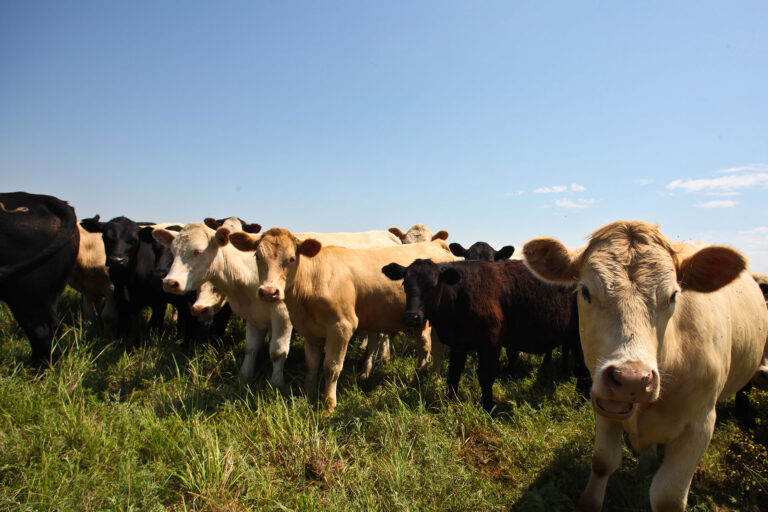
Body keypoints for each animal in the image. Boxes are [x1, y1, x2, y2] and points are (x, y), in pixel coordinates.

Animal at [228, 228, 454, 408]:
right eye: (257, 256)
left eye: (291, 259)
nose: (269, 292)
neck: (313, 278)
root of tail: (436, 245)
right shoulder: (309, 329)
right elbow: (311, 365)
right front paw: (308, 396)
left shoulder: (342, 326)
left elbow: (331, 367)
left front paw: (329, 405)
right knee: (434, 347)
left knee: (428, 347)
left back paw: (421, 380)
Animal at [382, 258, 588, 411]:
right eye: (405, 284)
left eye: (433, 285)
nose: (412, 317)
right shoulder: (459, 344)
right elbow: (453, 374)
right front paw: (449, 402)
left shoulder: (491, 341)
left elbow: (486, 375)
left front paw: (488, 407)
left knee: (583, 371)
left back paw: (581, 403)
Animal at [523, 220, 768, 512]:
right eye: (585, 292)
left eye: (673, 296)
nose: (631, 379)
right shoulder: (604, 402)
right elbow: (603, 461)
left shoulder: (700, 424)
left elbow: (668, 496)